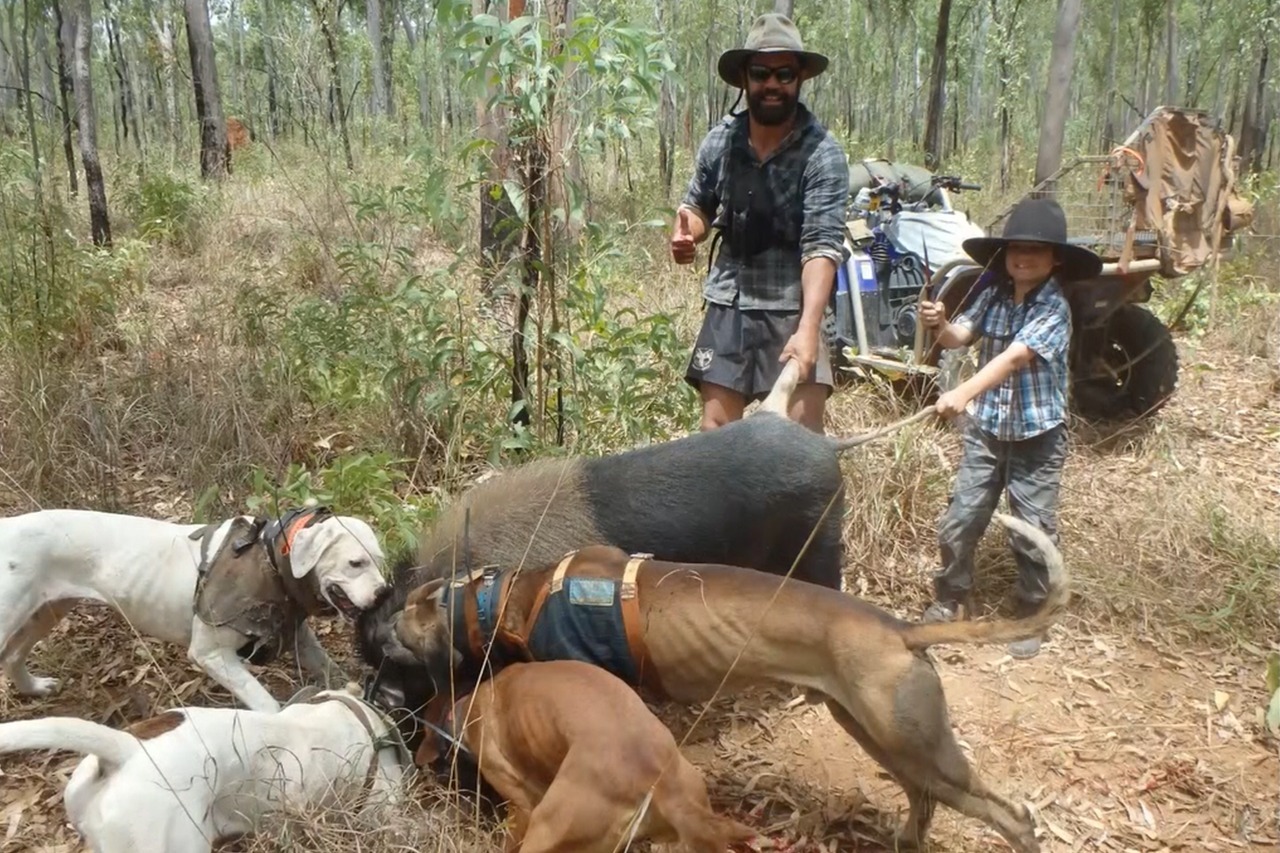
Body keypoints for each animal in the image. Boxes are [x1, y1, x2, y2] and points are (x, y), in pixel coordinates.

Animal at [0, 504, 386, 712]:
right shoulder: (211, 654)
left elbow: (331, 671)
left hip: (48, 611)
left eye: (380, 561)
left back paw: (33, 688)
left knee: (13, 656)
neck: (272, 559)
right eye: (355, 563)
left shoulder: (300, 637)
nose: (384, 594)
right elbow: (266, 703)